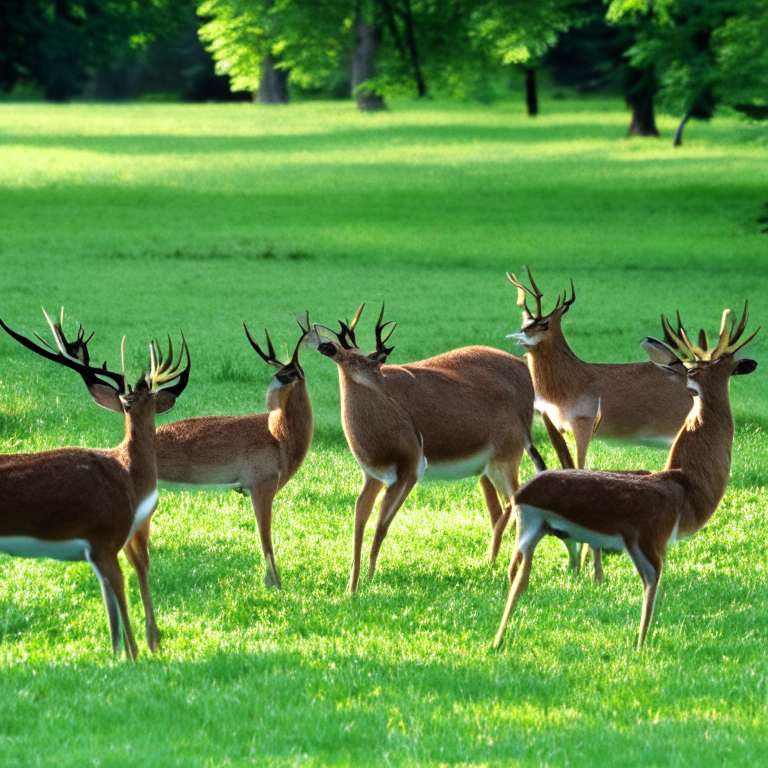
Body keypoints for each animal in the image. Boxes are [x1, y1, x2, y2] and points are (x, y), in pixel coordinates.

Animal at [0, 306, 190, 660]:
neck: (129, 474)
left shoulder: (101, 550)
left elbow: (113, 622)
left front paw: (120, 658)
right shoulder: (105, 539)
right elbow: (123, 611)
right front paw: (136, 659)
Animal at [308, 304, 556, 592]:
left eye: (374, 360)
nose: (384, 378)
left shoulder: (409, 471)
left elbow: (381, 526)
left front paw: (369, 581)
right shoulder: (373, 476)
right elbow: (359, 522)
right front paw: (352, 588)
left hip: (502, 462)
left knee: (514, 501)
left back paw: (505, 568)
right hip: (492, 468)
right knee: (504, 506)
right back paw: (497, 564)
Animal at [496, 304, 760, 652]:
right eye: (729, 366)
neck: (686, 482)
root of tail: (523, 493)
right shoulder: (649, 540)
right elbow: (651, 588)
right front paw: (641, 647)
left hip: (532, 532)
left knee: (517, 577)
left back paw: (498, 641)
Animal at [508, 268, 692, 580]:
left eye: (545, 323)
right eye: (525, 320)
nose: (519, 338)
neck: (572, 381)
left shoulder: (582, 426)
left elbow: (581, 468)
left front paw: (590, 567)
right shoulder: (558, 427)